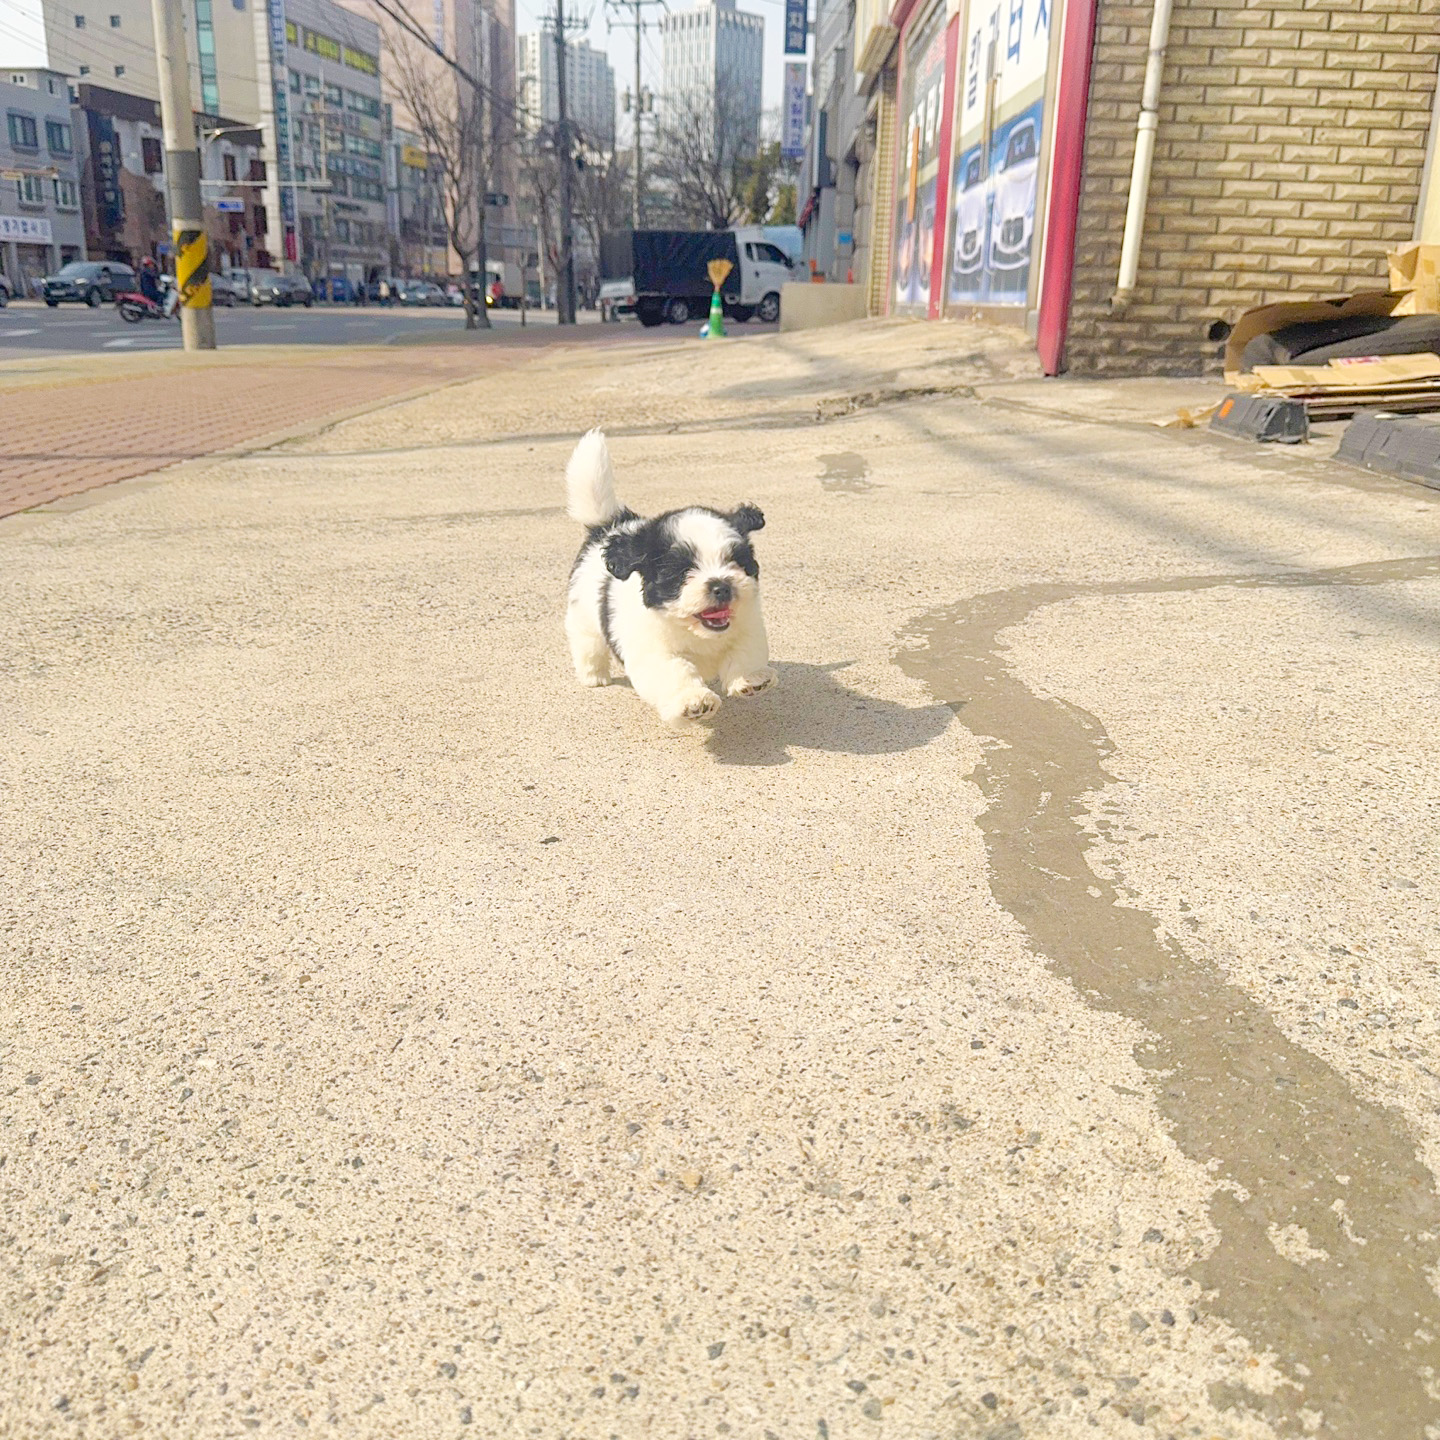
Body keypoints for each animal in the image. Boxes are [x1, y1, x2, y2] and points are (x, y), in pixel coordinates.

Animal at [564, 429, 776, 727]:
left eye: (735, 561)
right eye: (680, 572)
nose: (721, 586)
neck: (695, 630)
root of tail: (609, 526)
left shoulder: (748, 625)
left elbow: (746, 650)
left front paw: (751, 678)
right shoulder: (654, 652)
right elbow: (674, 672)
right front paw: (693, 701)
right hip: (583, 616)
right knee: (588, 644)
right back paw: (594, 676)